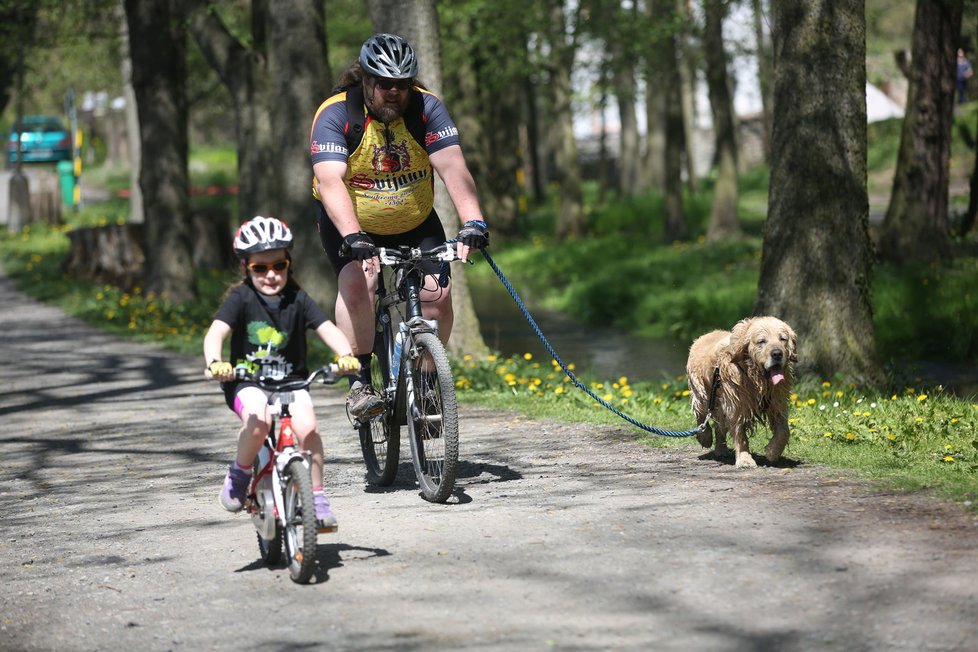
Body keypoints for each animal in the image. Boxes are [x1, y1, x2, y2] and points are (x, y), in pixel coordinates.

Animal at [688, 318, 792, 466]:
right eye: (761, 341)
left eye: (783, 339)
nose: (777, 354)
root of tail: (704, 336)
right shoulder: (737, 403)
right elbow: (739, 433)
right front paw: (745, 459)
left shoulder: (777, 402)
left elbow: (784, 430)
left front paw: (773, 451)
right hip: (703, 393)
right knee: (701, 414)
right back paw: (705, 437)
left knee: (719, 427)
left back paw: (721, 449)